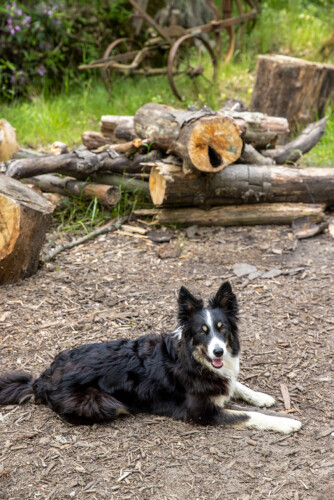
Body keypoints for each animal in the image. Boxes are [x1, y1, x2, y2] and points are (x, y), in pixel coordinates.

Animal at [0, 282, 302, 434]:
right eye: (202, 332)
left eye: (222, 329)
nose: (218, 351)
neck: (193, 358)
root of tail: (42, 380)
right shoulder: (202, 412)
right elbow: (249, 415)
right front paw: (286, 422)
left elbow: (236, 385)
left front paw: (261, 396)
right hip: (105, 402)